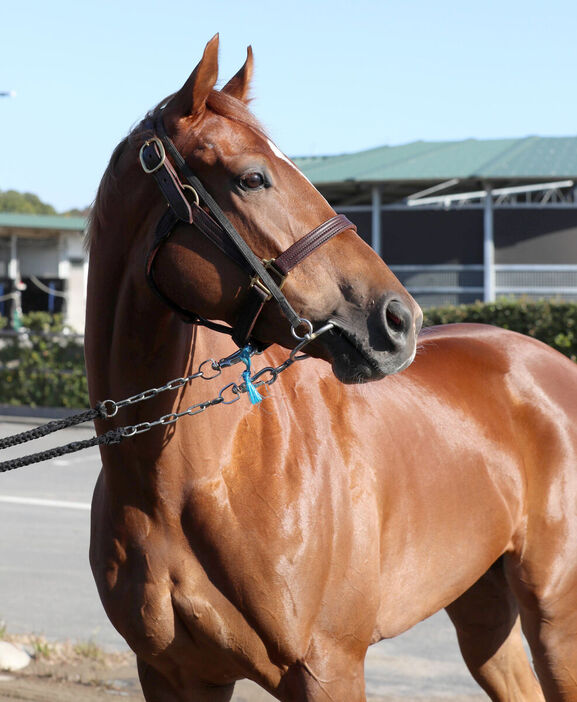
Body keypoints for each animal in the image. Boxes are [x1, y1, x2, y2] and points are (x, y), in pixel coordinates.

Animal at [85, 34, 576, 702]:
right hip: (481, 605)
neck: (197, 478)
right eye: (252, 178)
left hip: (555, 616)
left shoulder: (328, 668)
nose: (400, 319)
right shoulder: (172, 674)